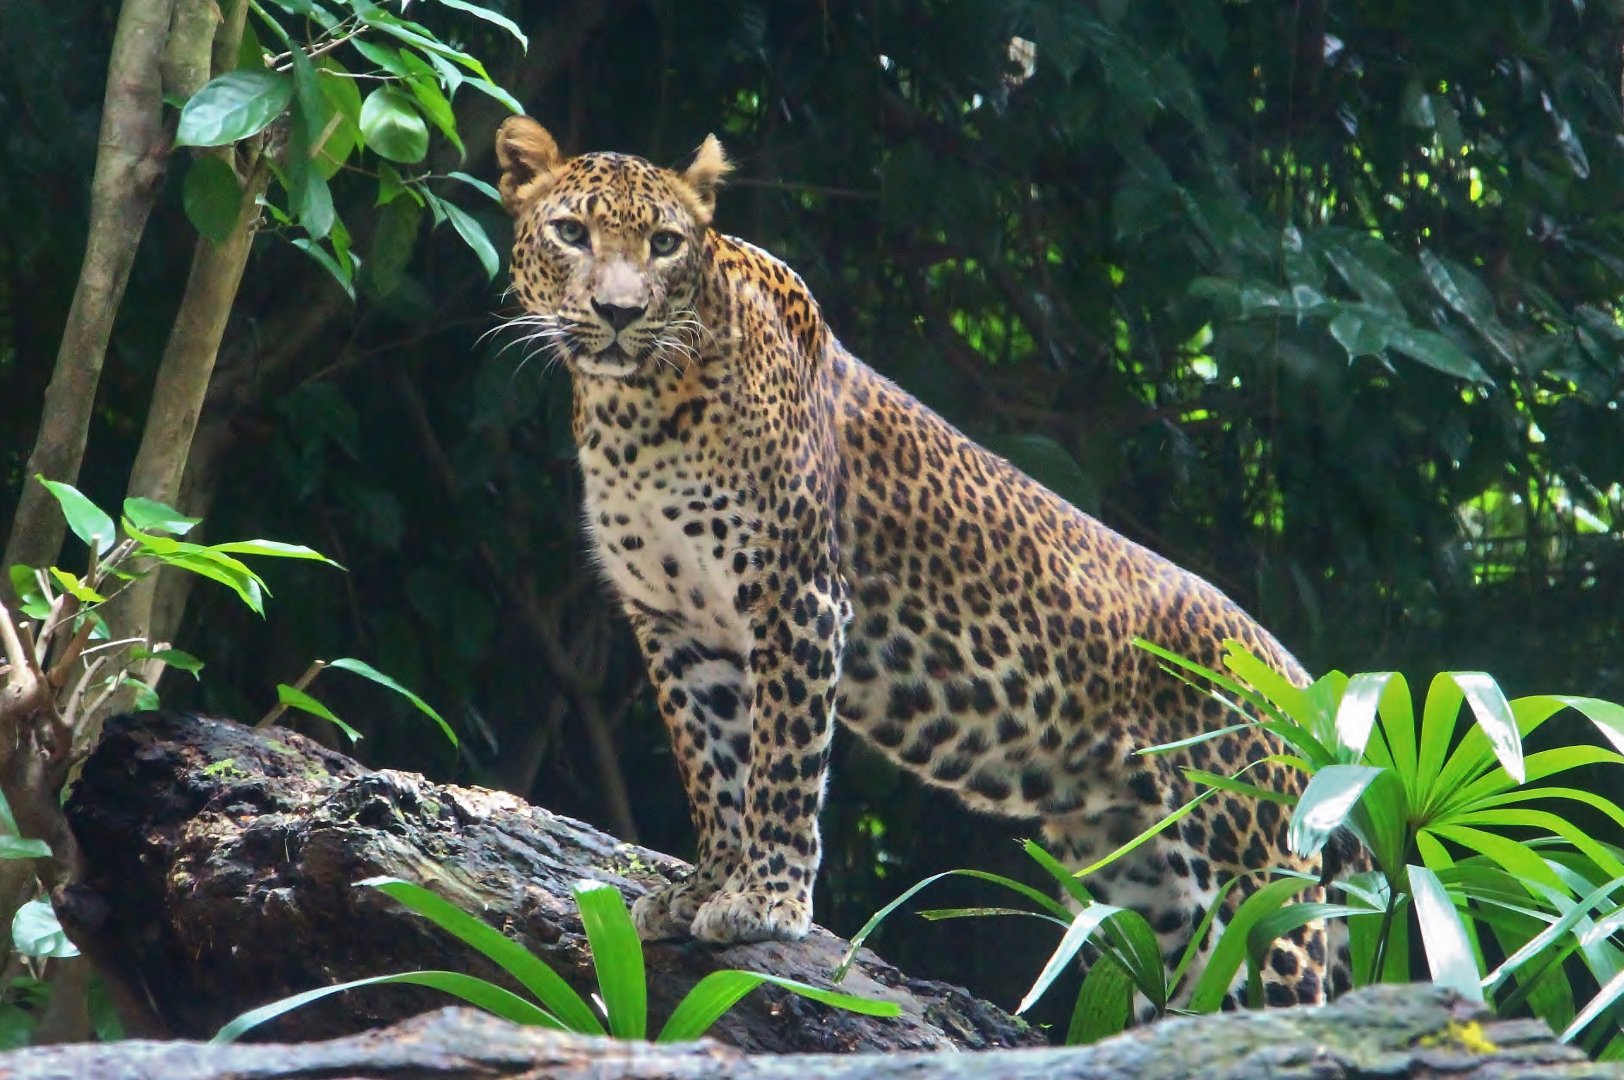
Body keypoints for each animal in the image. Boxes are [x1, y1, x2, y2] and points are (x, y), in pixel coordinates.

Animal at [494, 115, 1349, 1013]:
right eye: (571, 233)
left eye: (664, 243)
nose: (620, 313)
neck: (636, 410)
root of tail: (1301, 680)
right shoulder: (673, 622)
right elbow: (712, 764)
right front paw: (706, 884)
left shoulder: (798, 600)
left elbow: (781, 759)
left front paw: (766, 899)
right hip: (1149, 885)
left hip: (1252, 876)